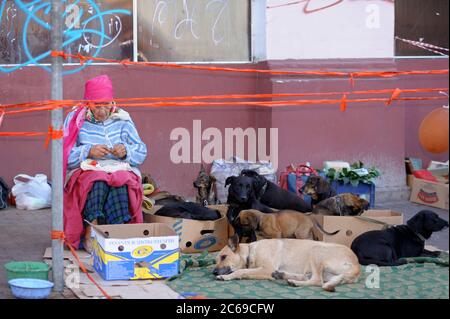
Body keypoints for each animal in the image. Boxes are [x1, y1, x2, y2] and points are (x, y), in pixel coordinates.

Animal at [213, 235, 360, 292]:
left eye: (224, 257)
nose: (213, 272)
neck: (250, 251)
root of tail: (357, 266)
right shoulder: (266, 270)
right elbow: (244, 271)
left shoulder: (267, 268)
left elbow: (241, 271)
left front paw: (225, 277)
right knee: (310, 277)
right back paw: (283, 276)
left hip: (316, 250)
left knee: (318, 280)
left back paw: (294, 282)